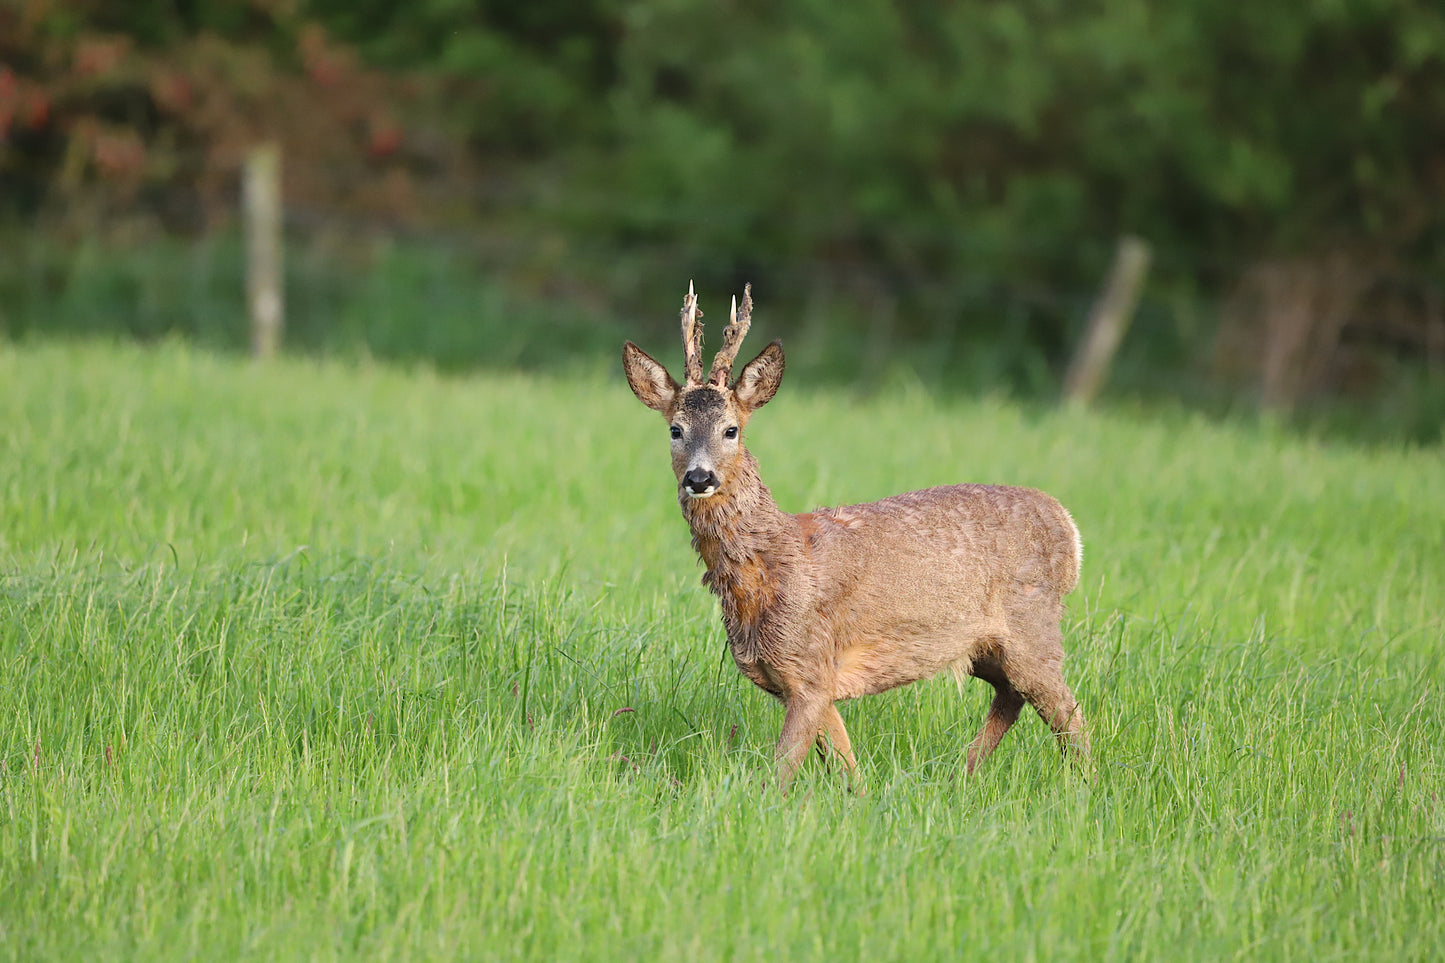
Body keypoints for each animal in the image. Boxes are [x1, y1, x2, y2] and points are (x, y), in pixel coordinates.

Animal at [618, 279, 1086, 786]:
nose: (700, 478)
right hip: (988, 648)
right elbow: (848, 771)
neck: (770, 571)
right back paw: (963, 773)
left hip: (1033, 626)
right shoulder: (802, 678)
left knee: (1070, 714)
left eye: (731, 430)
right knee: (1013, 697)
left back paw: (1080, 786)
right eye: (675, 429)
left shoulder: (810, 666)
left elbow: (782, 773)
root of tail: (1066, 523)